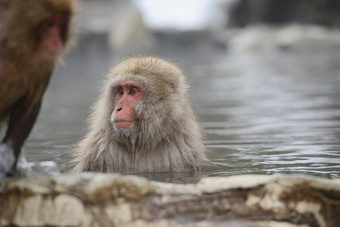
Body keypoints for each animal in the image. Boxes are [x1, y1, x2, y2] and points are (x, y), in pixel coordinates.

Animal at [73, 57, 206, 174]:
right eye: (120, 91)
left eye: (133, 91)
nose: (118, 108)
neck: (141, 144)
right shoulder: (99, 150)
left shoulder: (183, 152)